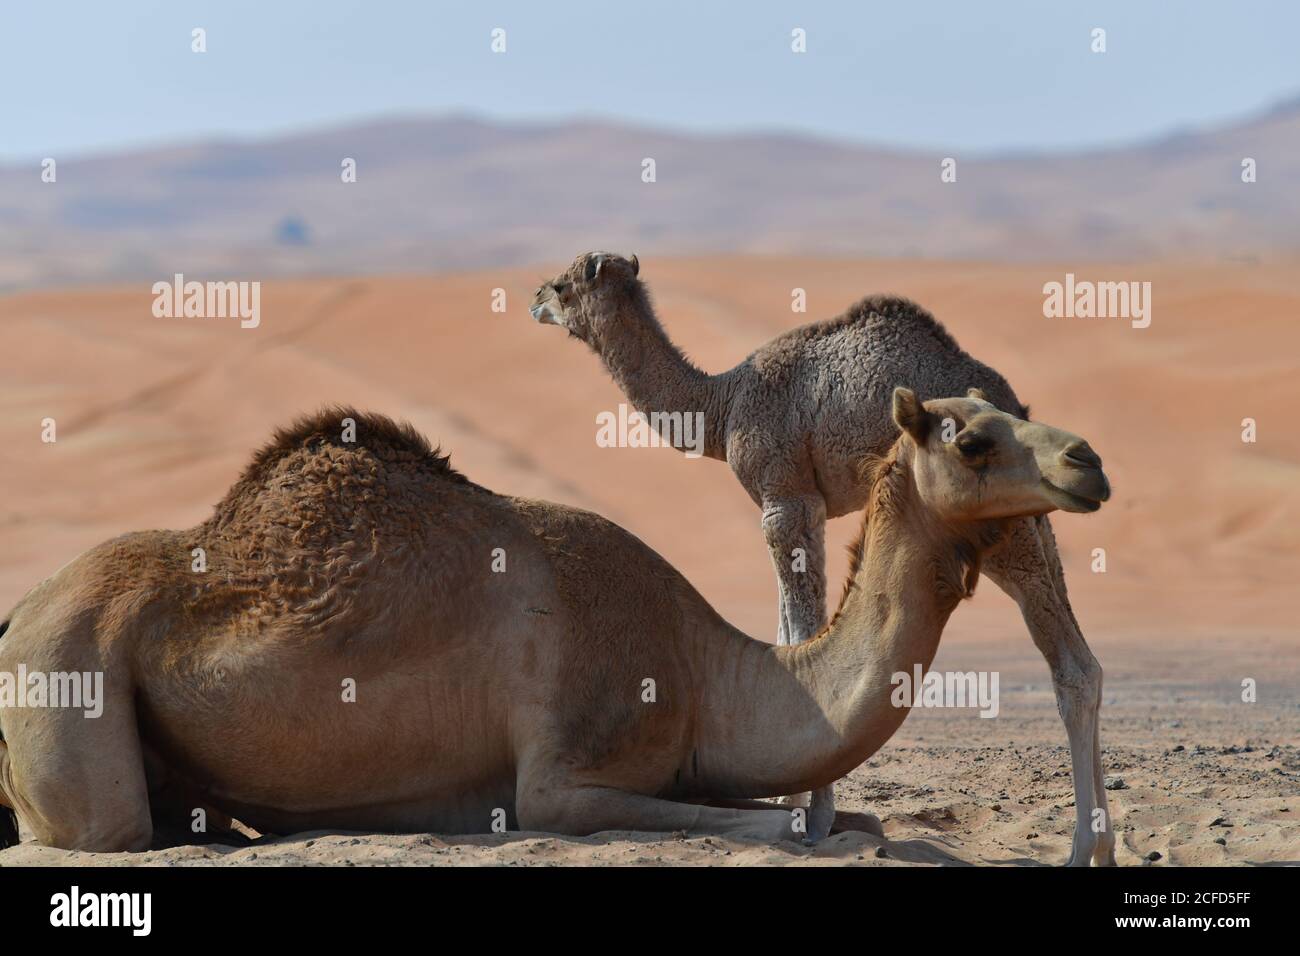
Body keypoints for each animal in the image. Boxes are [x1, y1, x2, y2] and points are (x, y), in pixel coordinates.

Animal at [0, 395, 1108, 856]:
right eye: (972, 440)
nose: (1088, 460)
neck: (704, 665)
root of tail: (20, 611)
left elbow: (849, 818)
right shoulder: (560, 778)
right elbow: (790, 822)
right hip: (69, 674)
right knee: (97, 831)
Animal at [531, 252, 1118, 865]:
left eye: (565, 285)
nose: (534, 299)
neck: (722, 404)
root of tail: (1011, 400)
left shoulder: (786, 499)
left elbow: (799, 634)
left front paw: (813, 819)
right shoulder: (797, 506)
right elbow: (786, 635)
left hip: (1002, 522)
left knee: (1071, 667)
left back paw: (1081, 849)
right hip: (1039, 519)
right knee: (1087, 661)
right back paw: (1104, 847)